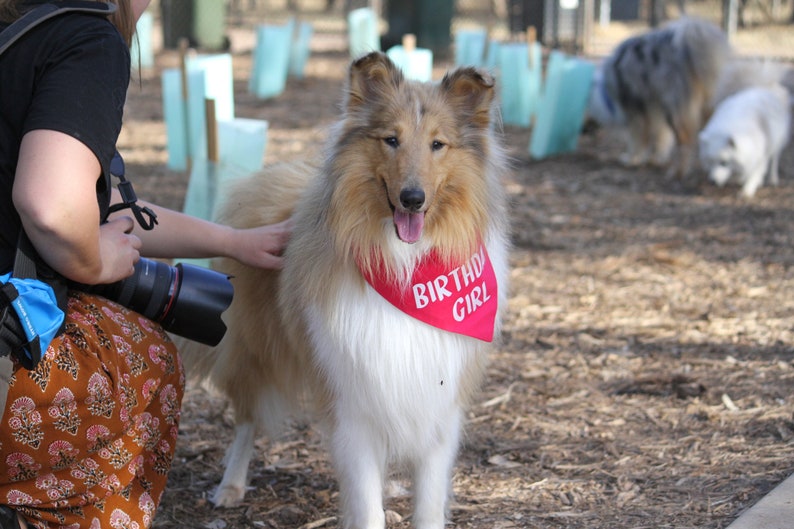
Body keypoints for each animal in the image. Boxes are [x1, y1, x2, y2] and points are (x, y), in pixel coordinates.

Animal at [179, 50, 510, 528]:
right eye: (391, 139)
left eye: (438, 144)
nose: (412, 198)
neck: (406, 269)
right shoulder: (353, 405)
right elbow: (365, 504)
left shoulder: (436, 408)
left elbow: (428, 502)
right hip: (257, 354)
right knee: (246, 420)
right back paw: (231, 486)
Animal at [588, 17, 732, 175]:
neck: (604, 91)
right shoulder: (655, 111)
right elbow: (661, 137)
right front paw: (656, 158)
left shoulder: (637, 112)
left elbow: (637, 140)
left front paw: (632, 159)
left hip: (673, 108)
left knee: (686, 140)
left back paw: (679, 171)